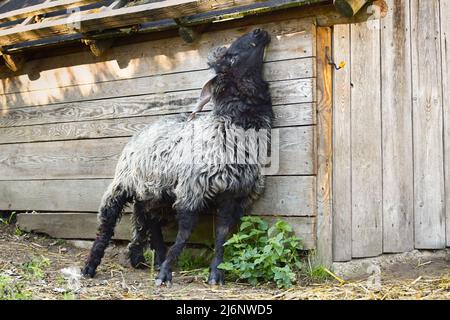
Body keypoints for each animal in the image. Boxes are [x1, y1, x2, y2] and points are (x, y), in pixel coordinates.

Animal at [82, 29, 272, 284]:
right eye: (231, 57)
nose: (259, 32)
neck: (228, 123)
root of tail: (141, 130)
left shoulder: (231, 192)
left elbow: (222, 234)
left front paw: (215, 274)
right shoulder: (192, 188)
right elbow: (185, 232)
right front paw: (165, 273)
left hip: (154, 191)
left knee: (149, 220)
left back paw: (146, 256)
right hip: (123, 183)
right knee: (107, 221)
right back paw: (90, 266)